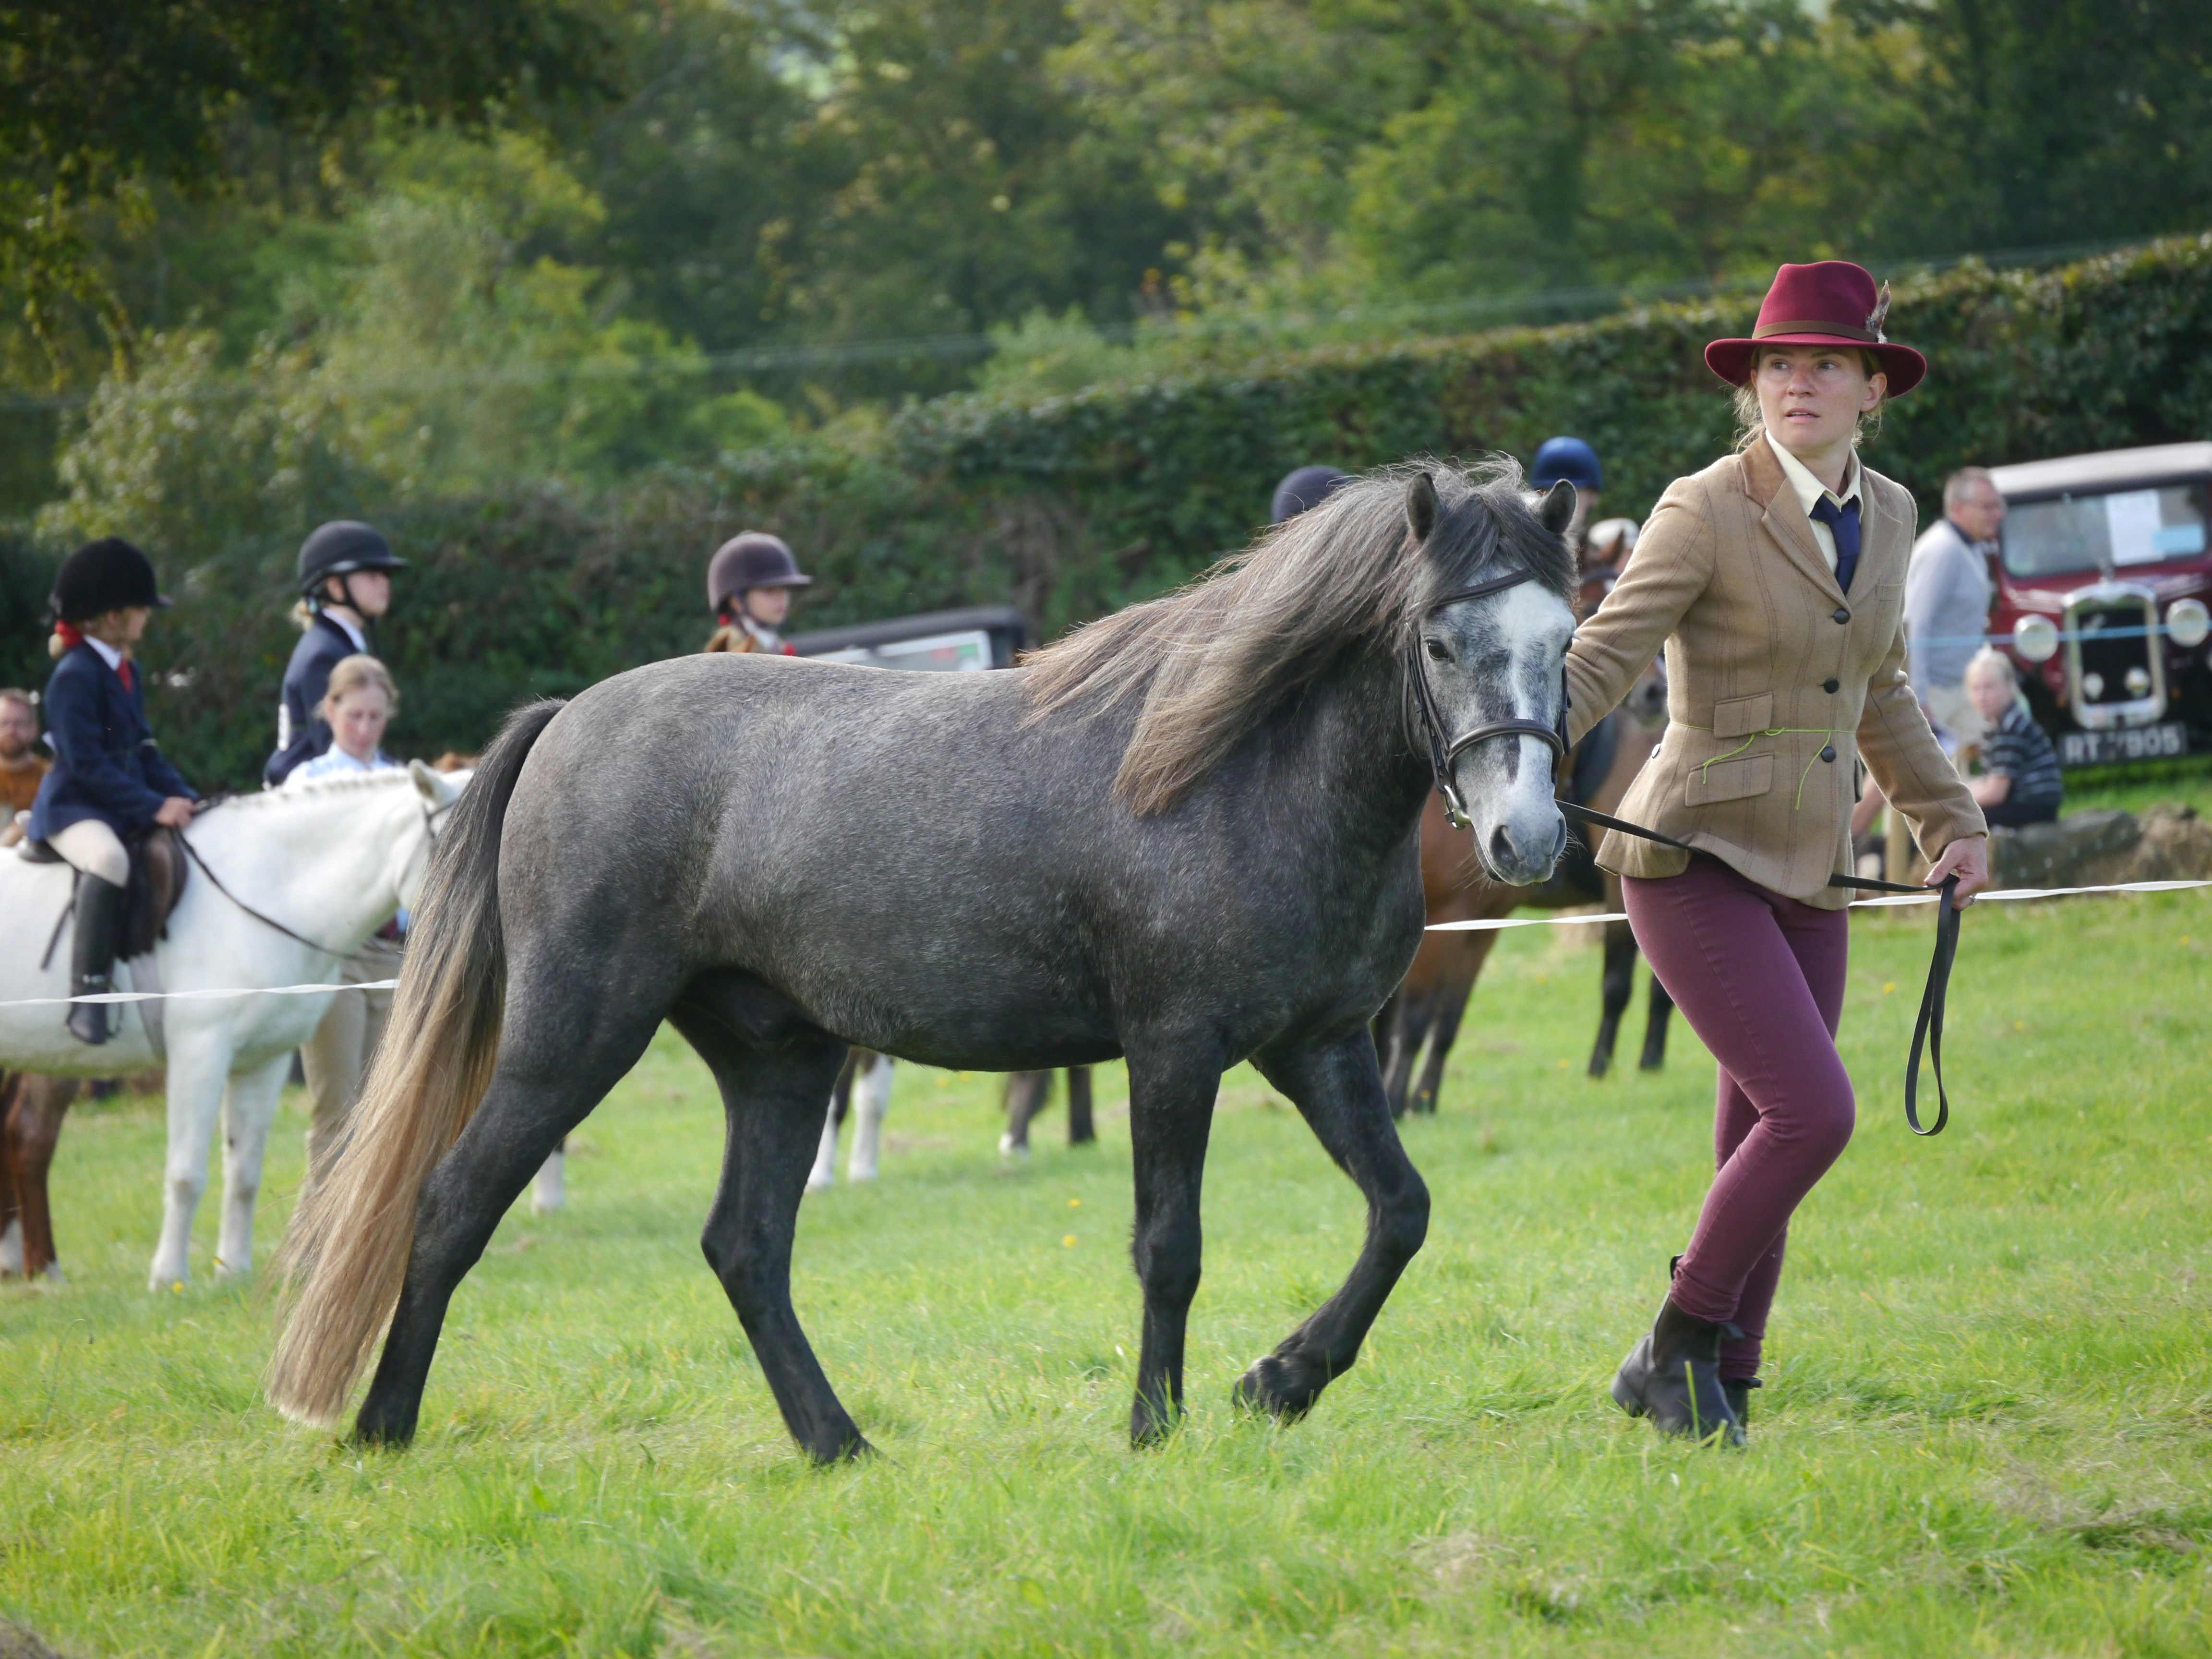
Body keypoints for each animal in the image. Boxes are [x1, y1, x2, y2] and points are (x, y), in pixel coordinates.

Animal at [0, 763, 466, 1289]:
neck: (273, 888)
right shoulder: (200, 1052)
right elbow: (186, 1172)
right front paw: (168, 1276)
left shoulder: (264, 1061)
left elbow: (244, 1172)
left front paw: (233, 1272)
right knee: (31, 1135)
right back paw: (43, 1267)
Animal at [268, 461, 1579, 1463]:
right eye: (1440, 639)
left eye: (1563, 637)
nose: (1527, 837)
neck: (1239, 769)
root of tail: (564, 722)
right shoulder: (1177, 1049)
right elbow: (1170, 1245)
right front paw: (1156, 1426)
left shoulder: (1319, 1045)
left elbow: (1400, 1210)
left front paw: (1284, 1378)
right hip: (573, 1036)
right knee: (454, 1201)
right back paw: (382, 1428)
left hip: (779, 1059)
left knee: (746, 1247)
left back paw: (836, 1440)